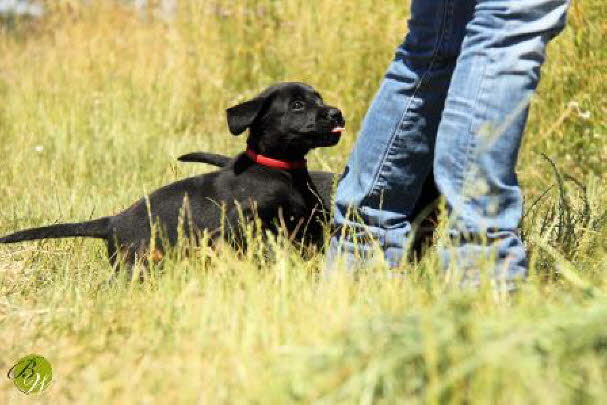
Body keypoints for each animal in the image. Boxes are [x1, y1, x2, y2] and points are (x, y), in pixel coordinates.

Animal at [0, 81, 344, 274]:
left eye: (319, 98)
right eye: (297, 105)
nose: (336, 113)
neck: (279, 169)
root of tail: (111, 222)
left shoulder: (310, 225)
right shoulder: (252, 224)